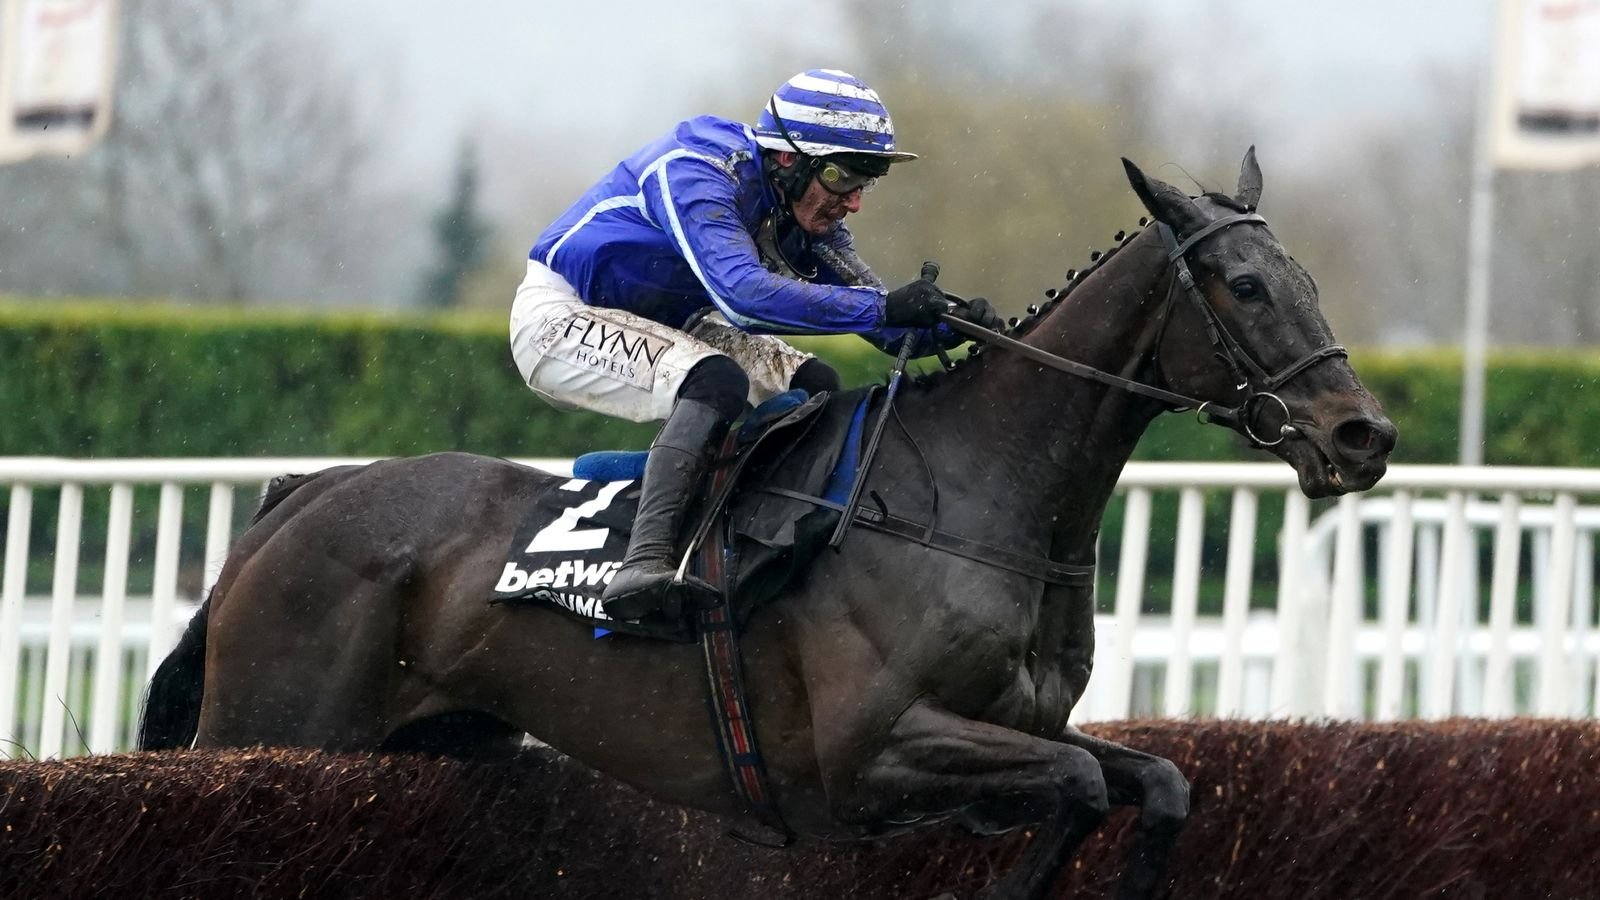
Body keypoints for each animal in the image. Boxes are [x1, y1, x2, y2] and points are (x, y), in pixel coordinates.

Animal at [140, 153, 1401, 896]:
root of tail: (308, 493)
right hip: (272, 728)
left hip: (433, 739)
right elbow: (1082, 791)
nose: (1361, 434)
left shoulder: (1022, 729)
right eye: (1246, 285)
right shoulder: (868, 753)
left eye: (1305, 278)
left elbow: (1157, 783)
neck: (972, 504)